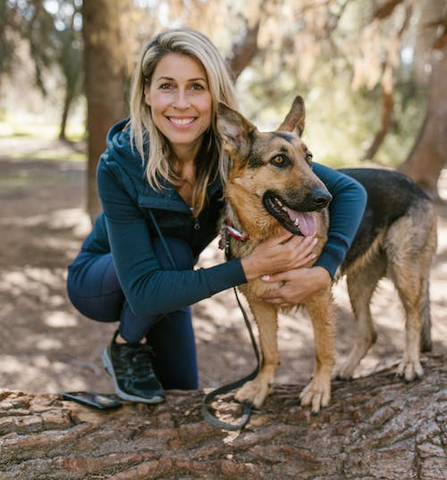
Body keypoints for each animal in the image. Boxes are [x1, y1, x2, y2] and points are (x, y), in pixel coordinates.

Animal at [219, 96, 440, 412]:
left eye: (309, 158)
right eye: (279, 160)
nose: (325, 199)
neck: (267, 236)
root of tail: (417, 187)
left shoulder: (319, 298)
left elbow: (322, 349)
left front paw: (318, 389)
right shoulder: (260, 304)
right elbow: (269, 351)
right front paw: (261, 386)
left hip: (405, 271)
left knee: (413, 319)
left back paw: (410, 363)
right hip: (358, 284)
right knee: (369, 332)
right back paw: (347, 369)